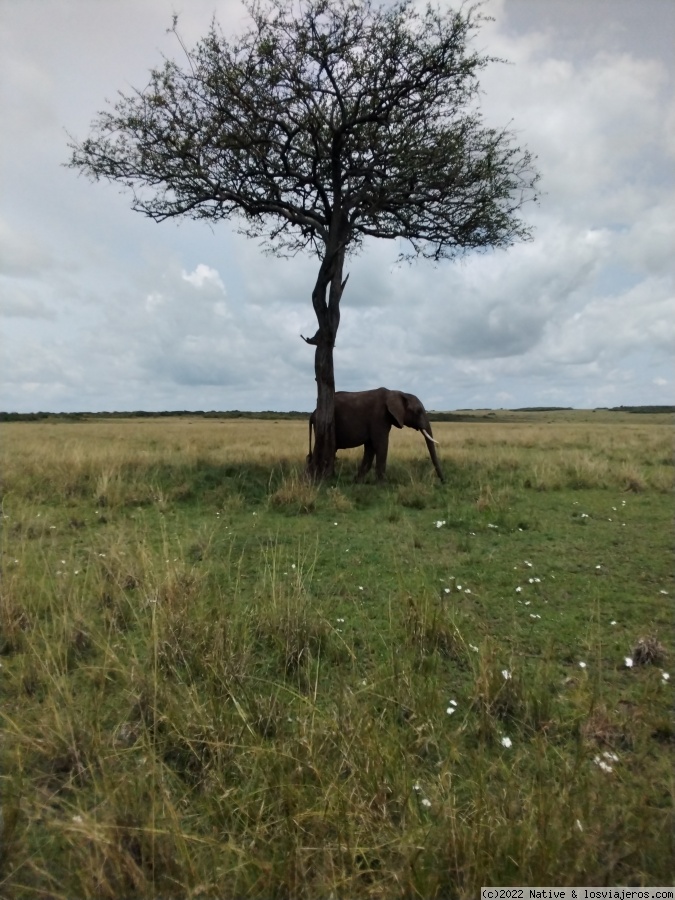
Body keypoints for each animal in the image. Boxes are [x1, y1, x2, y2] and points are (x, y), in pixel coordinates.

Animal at [310, 388, 446, 486]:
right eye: (418, 411)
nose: (443, 482)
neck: (397, 392)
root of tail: (313, 412)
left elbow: (370, 448)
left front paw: (357, 482)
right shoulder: (379, 417)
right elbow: (381, 444)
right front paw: (382, 485)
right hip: (322, 423)